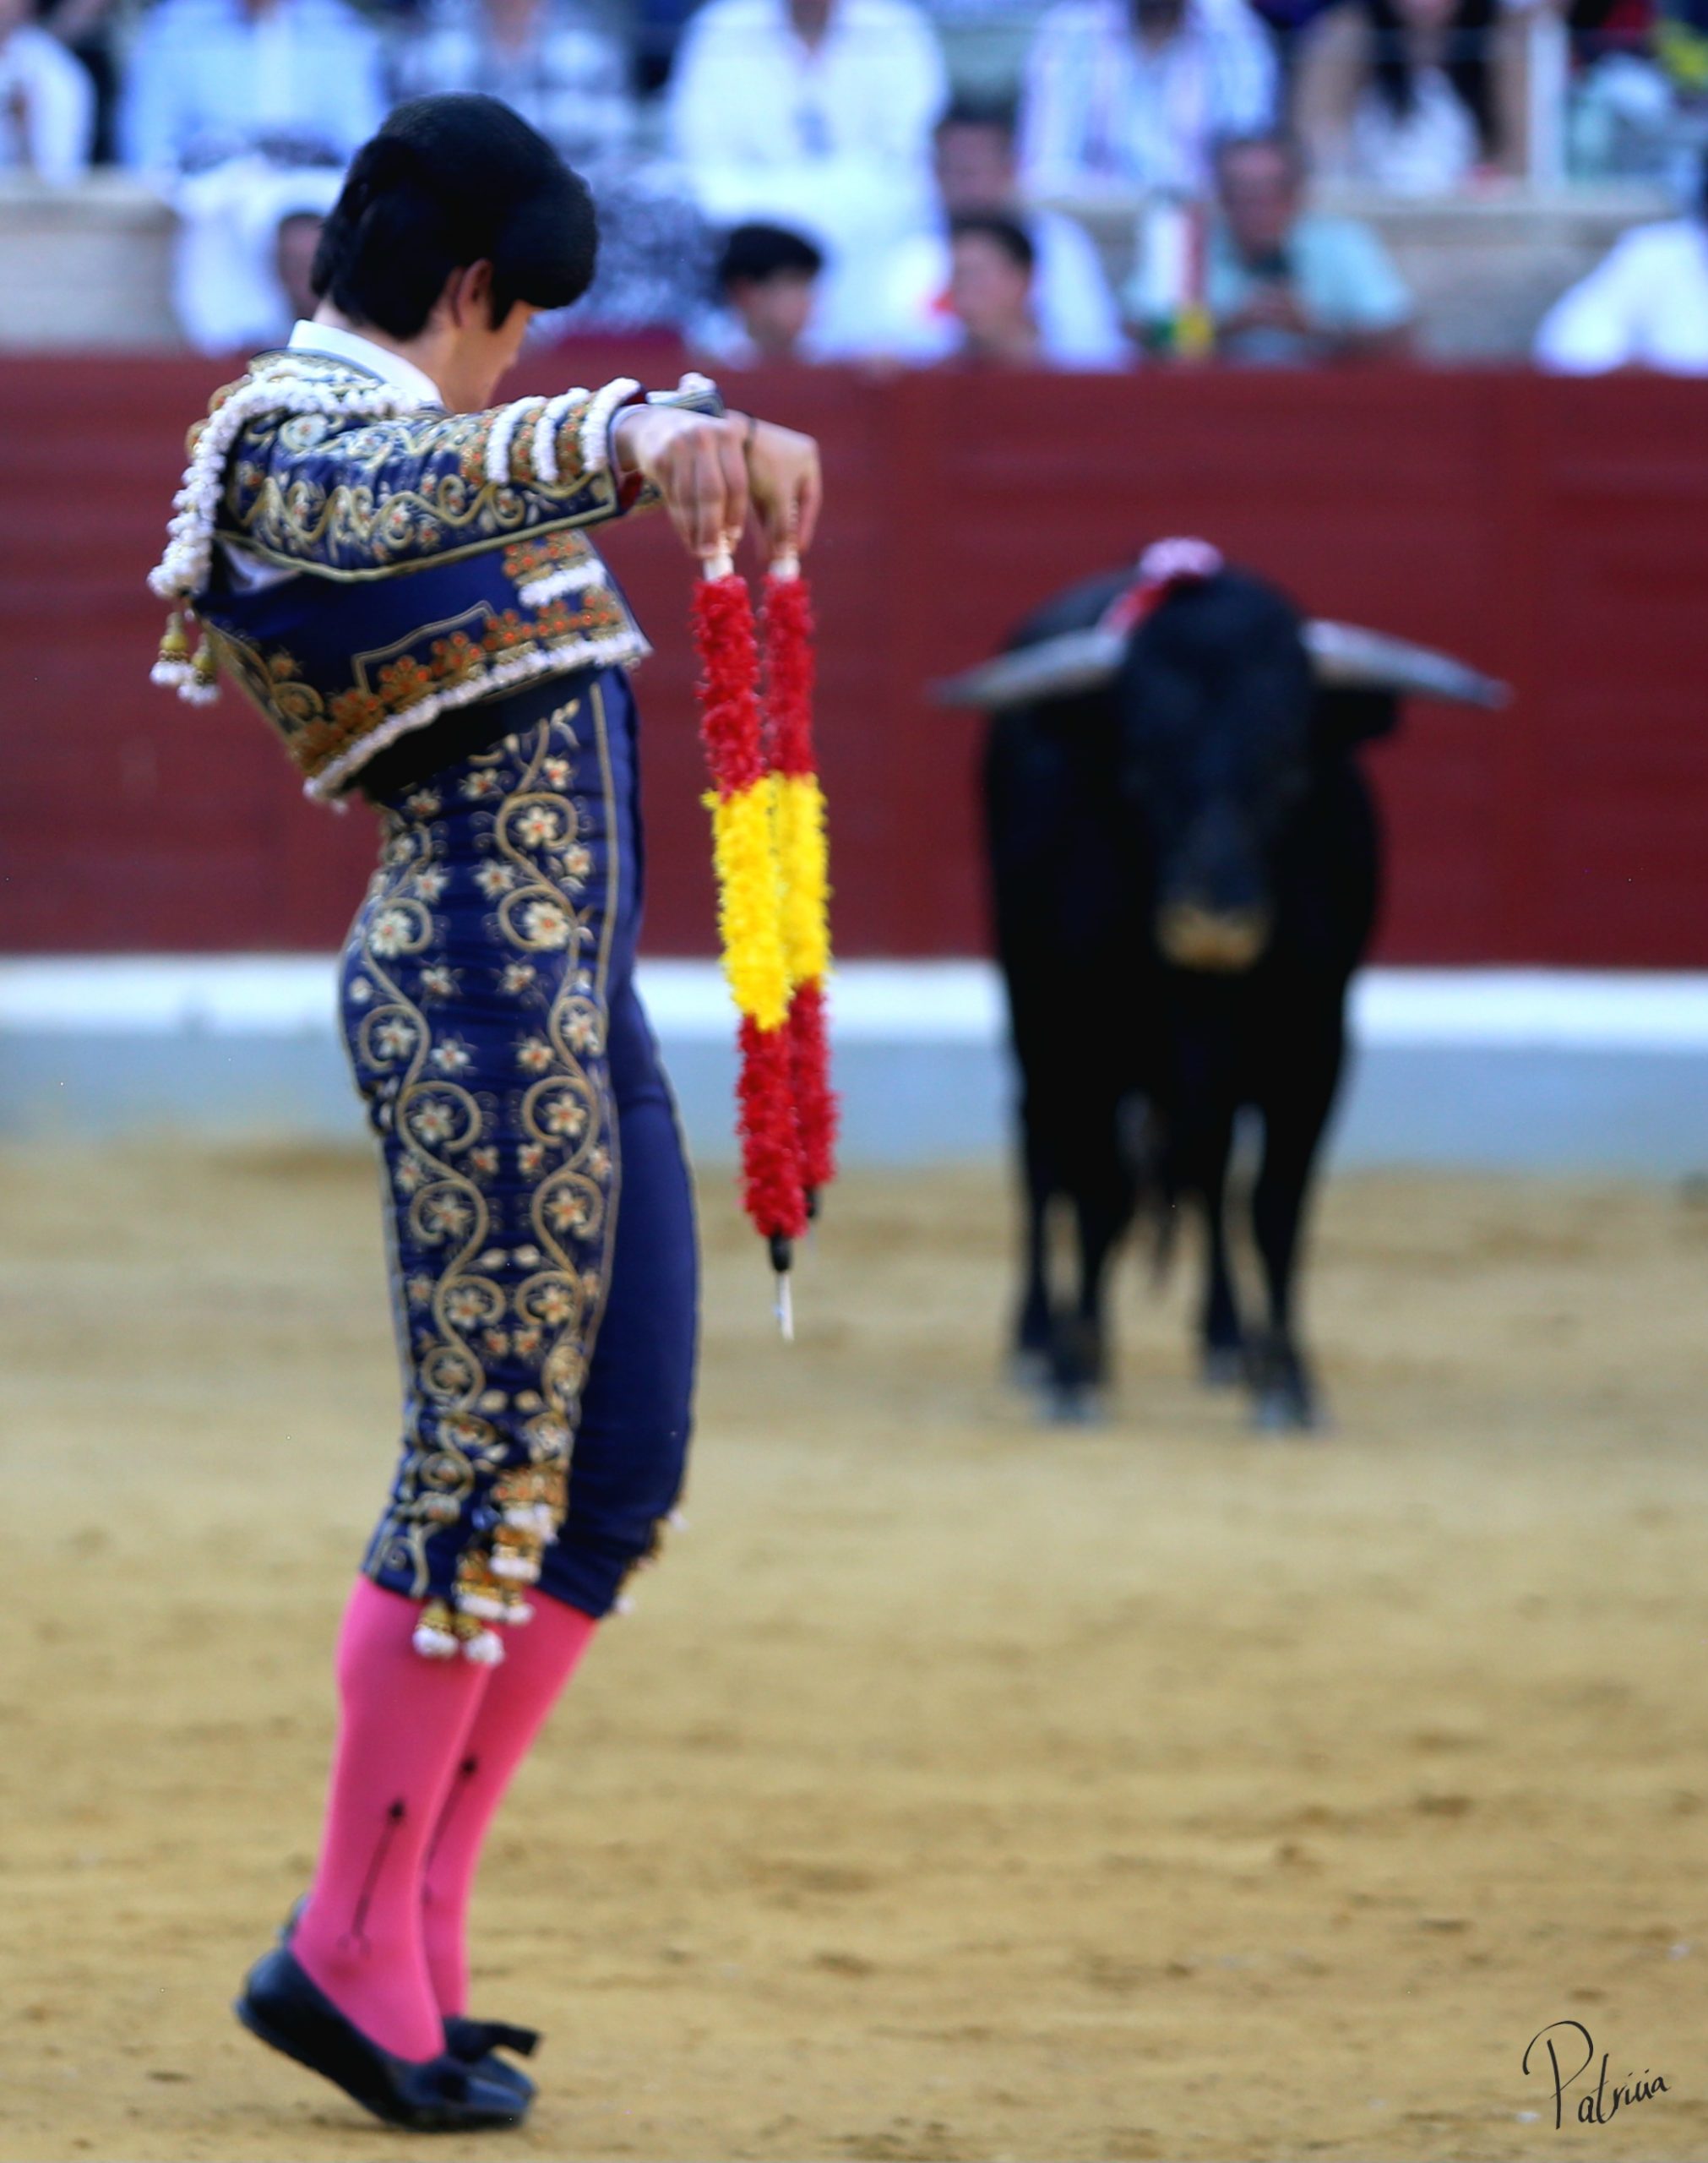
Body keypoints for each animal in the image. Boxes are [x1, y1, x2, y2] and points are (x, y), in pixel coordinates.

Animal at [939, 540, 1503, 1430]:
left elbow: (1274, 1206)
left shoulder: (1316, 1043)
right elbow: (1099, 1193)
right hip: (1028, 1006)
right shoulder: (1081, 1034)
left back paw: (1226, 1339)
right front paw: (1076, 1369)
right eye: (1137, 768)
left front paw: (1289, 1381)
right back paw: (1033, 1337)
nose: (1212, 917)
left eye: (1290, 764)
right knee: (1039, 1149)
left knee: (1205, 1168)